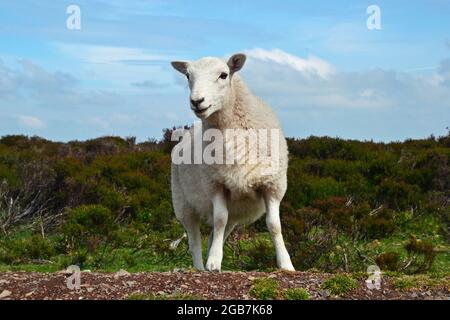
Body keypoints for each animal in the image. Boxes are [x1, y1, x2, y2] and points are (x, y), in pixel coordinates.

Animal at [170, 53, 296, 272]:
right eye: (187, 75)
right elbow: (219, 219)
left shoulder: (273, 186)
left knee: (214, 234)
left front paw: (286, 264)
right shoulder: (215, 184)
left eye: (223, 74)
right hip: (184, 205)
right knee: (194, 239)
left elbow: (274, 225)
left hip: (235, 211)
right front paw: (213, 262)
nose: (197, 101)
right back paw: (200, 267)